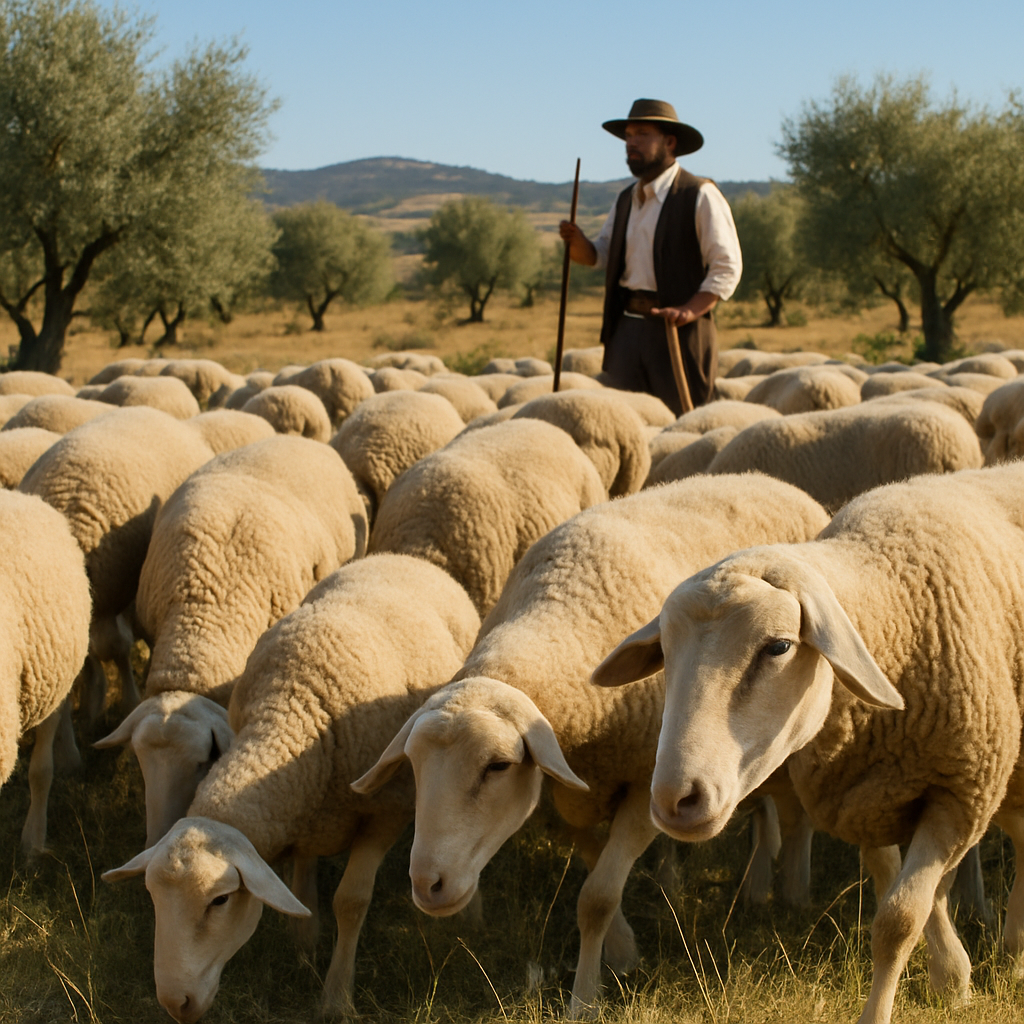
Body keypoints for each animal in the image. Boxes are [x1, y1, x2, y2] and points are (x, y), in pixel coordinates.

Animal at [103, 554, 481, 1020]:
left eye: (219, 900)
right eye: (153, 896)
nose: (177, 1003)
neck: (291, 713)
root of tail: (405, 558)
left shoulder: (386, 812)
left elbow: (351, 901)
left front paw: (336, 997)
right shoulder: (301, 802)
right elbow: (300, 872)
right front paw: (304, 942)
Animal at [354, 474, 830, 1016]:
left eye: (497, 765)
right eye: (413, 766)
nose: (427, 885)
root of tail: (771, 480)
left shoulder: (645, 789)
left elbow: (597, 898)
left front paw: (584, 1000)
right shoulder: (567, 793)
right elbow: (597, 883)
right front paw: (621, 955)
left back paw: (781, 886)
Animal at [592, 462, 1024, 1024]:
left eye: (779, 646)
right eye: (664, 650)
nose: (674, 799)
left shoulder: (961, 793)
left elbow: (898, 919)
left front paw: (899, 1002)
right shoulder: (866, 796)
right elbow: (905, 892)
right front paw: (953, 978)